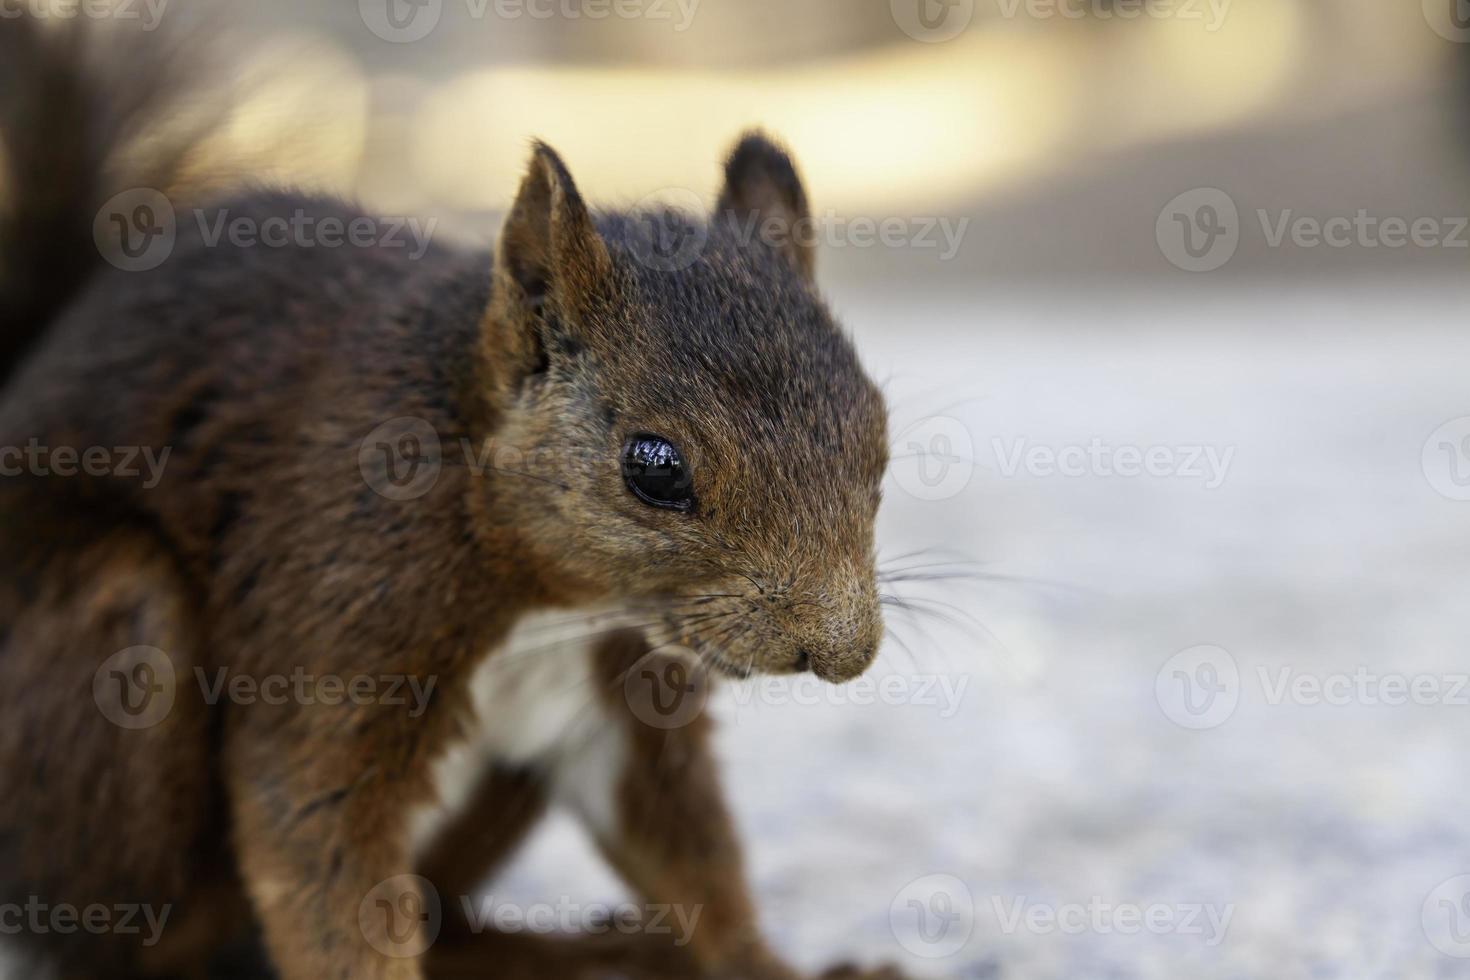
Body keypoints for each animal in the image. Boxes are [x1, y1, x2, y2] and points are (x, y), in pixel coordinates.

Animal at [0, 15, 893, 980]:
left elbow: (692, 851)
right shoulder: (333, 625)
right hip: (116, 643)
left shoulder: (625, 702)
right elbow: (319, 849)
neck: (549, 604)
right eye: (654, 468)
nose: (842, 653)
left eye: (880, 437)